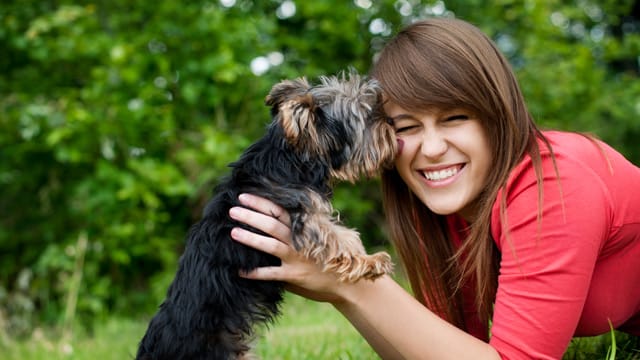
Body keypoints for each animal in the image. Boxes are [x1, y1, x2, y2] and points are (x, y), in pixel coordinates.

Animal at [135, 69, 396, 358]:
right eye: (367, 115)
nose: (391, 123)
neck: (291, 156)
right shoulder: (303, 213)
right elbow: (339, 237)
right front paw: (372, 261)